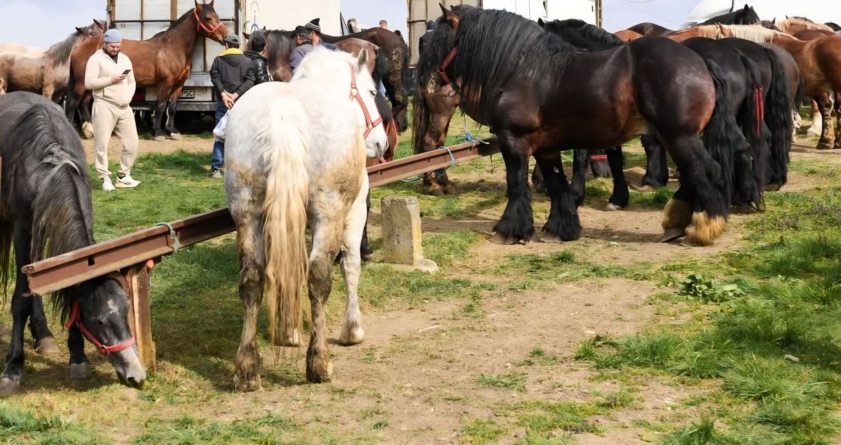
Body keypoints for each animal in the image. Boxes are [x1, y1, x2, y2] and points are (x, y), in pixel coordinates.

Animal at [0, 92, 147, 396]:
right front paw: (13, 368)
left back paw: (43, 335)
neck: (50, 169)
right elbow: (21, 300)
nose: (136, 375)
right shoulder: (22, 231)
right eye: (99, 320)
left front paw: (77, 357)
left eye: (127, 312)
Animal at [66, 1, 228, 141]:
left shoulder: (179, 84)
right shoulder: (165, 82)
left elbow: (172, 107)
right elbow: (161, 106)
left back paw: (91, 130)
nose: (226, 36)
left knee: (84, 103)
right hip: (81, 83)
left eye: (217, 15)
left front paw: (173, 131)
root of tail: (77, 48)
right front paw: (157, 133)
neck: (174, 47)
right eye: (208, 17)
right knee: (74, 104)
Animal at [223, 47, 389, 389]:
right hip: (329, 212)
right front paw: (352, 329)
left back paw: (247, 369)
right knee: (319, 277)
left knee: (252, 278)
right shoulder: (354, 211)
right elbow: (350, 263)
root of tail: (283, 113)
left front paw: (289, 333)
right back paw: (319, 363)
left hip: (247, 212)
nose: (382, 143)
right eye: (370, 92)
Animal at [417, 5, 741, 246]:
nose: (423, 80)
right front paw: (562, 228)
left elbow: (516, 185)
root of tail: (701, 62)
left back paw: (704, 226)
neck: (521, 71)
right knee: (693, 174)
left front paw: (511, 229)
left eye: (436, 41)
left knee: (704, 171)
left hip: (679, 135)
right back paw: (677, 223)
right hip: (674, 136)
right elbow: (557, 184)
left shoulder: (515, 141)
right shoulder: (545, 148)